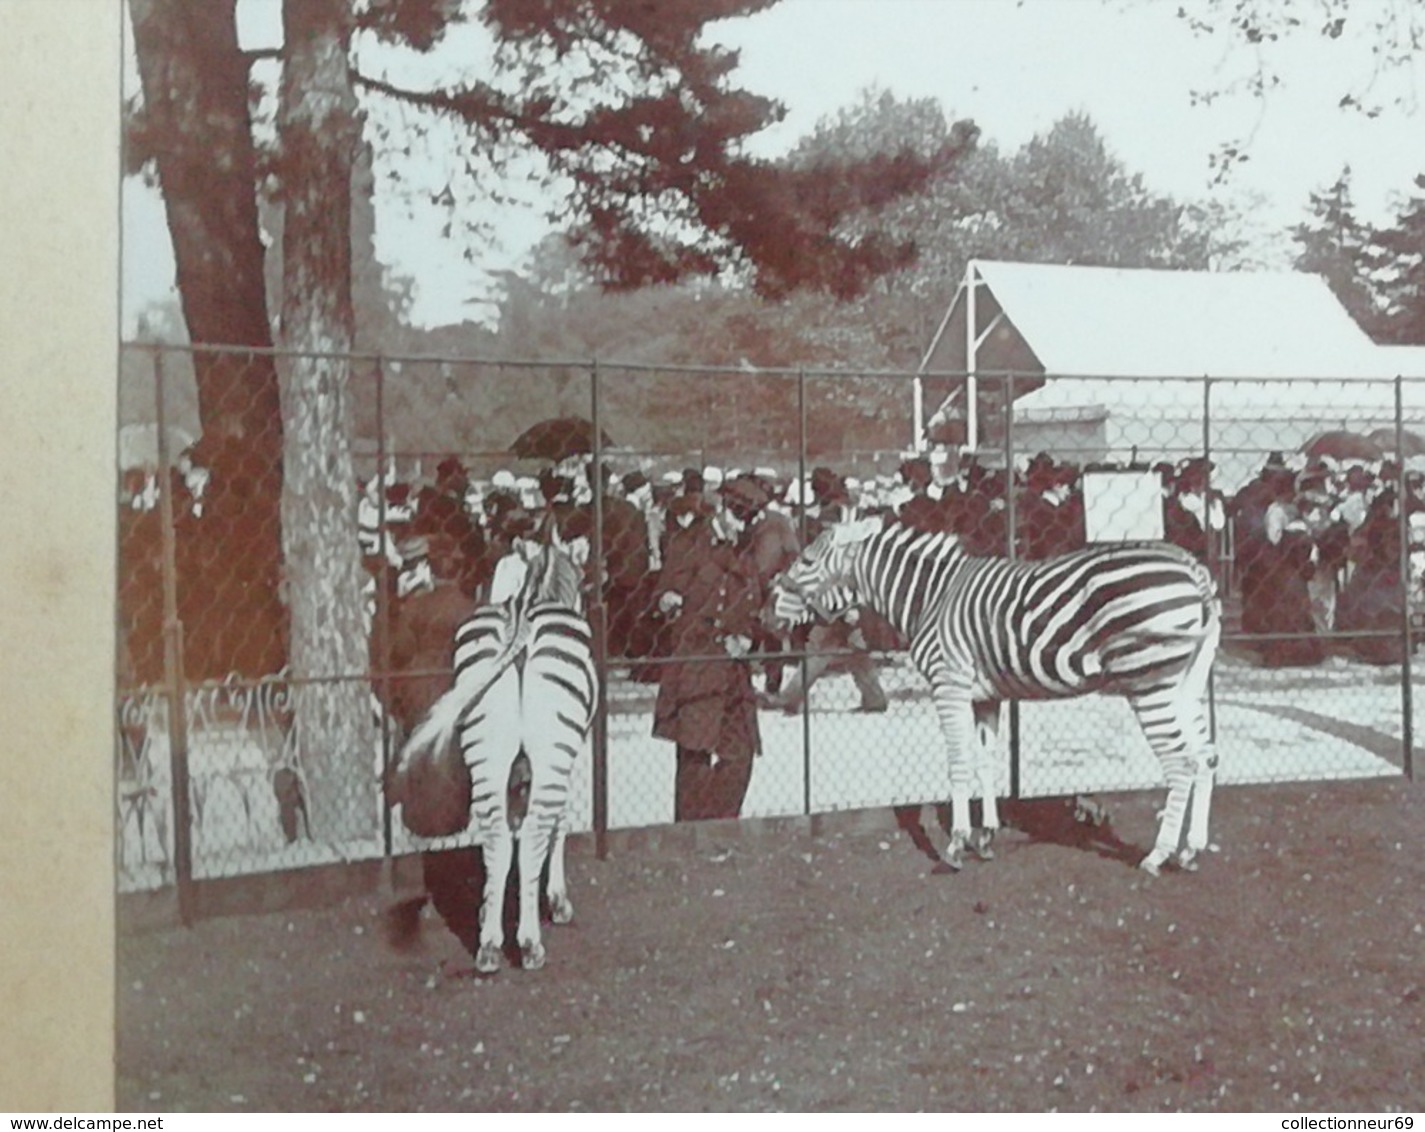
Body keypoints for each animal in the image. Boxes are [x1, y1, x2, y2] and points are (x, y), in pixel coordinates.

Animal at [390, 530, 595, 969]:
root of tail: (520, 623)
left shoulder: (515, 773)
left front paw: (493, 906)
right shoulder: (566, 760)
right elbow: (556, 825)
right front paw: (555, 900)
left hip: (486, 751)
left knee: (496, 833)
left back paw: (488, 945)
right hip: (552, 752)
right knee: (534, 828)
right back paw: (530, 944)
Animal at [769, 516, 1225, 878]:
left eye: (806, 561)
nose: (768, 612)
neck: (931, 598)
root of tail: (1193, 569)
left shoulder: (949, 685)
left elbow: (958, 763)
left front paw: (955, 845)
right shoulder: (986, 697)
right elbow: (985, 761)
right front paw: (985, 836)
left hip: (1149, 681)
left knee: (1181, 762)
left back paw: (1157, 855)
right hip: (1184, 682)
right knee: (1205, 756)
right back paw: (1190, 851)